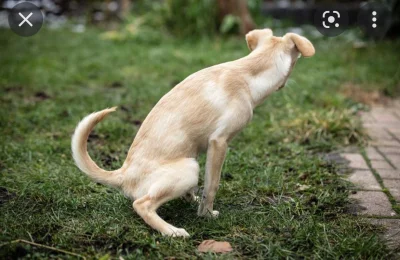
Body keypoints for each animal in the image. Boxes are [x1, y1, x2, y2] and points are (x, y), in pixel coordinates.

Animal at [72, 29, 316, 238]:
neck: (247, 74)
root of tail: (123, 174)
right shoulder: (219, 142)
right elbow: (213, 184)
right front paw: (206, 214)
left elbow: (207, 185)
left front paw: (199, 205)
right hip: (189, 168)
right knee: (142, 204)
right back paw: (172, 231)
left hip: (191, 159)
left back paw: (189, 199)